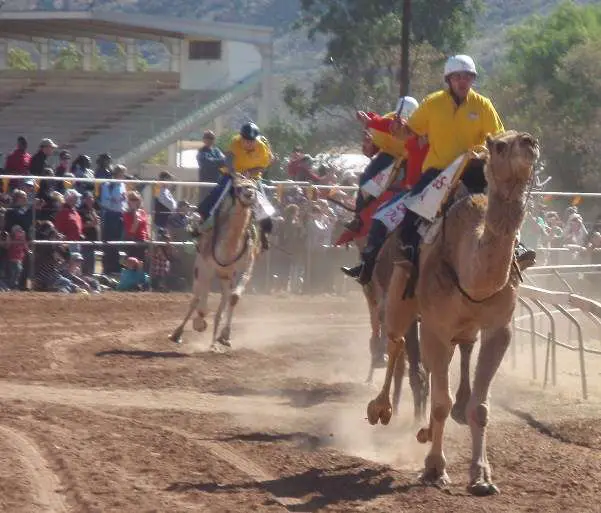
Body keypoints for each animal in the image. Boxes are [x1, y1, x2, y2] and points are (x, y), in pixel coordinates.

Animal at [171, 174, 260, 350]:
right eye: (238, 187)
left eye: (253, 185)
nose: (250, 193)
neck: (228, 248)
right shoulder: (207, 269)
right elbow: (202, 307)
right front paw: (199, 325)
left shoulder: (245, 268)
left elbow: (234, 298)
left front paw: (225, 337)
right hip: (199, 270)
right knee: (196, 300)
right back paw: (177, 334)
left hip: (226, 278)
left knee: (222, 305)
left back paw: (213, 343)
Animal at [366, 130, 540, 494]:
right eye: (500, 145)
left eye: (524, 138)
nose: (529, 142)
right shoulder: (436, 327)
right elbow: (440, 402)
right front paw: (434, 468)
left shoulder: (499, 329)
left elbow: (481, 407)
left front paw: (482, 477)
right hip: (398, 294)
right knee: (395, 342)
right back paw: (381, 409)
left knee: (446, 360)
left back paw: (426, 427)